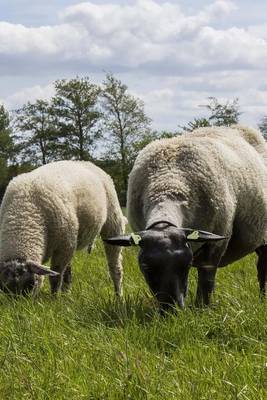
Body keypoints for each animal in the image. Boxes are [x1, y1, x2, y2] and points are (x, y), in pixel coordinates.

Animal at [106, 125, 267, 312]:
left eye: (187, 265)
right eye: (145, 266)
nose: (171, 310)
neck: (168, 183)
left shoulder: (216, 243)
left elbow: (206, 281)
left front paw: (202, 309)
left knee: (263, 267)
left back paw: (263, 298)